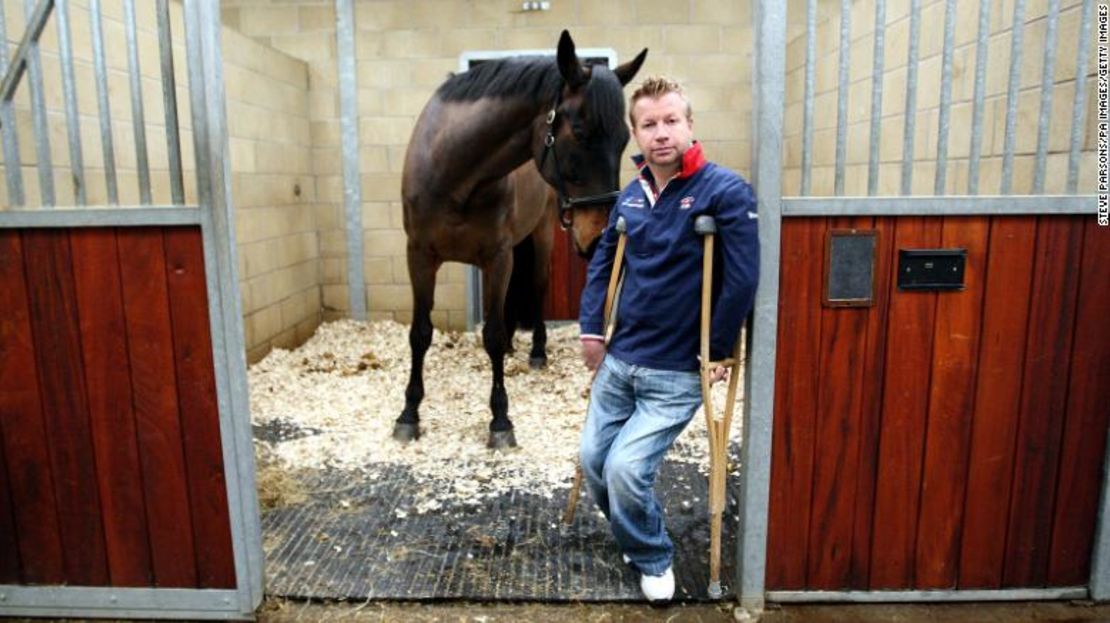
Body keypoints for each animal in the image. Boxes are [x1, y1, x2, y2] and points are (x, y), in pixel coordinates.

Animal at [395, 31, 648, 446]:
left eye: (625, 139)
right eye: (581, 133)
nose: (598, 239)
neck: (453, 175)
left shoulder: (496, 257)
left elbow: (493, 335)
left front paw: (500, 419)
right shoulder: (419, 256)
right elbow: (420, 333)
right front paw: (409, 412)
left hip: (540, 235)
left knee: (537, 285)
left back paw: (537, 351)